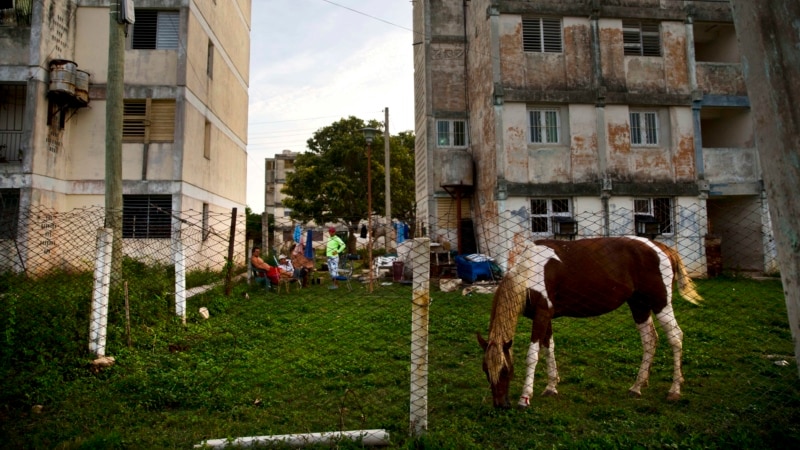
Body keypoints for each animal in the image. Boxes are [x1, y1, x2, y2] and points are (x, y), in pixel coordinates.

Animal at [478, 237, 704, 410]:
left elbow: (532, 355)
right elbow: (548, 348)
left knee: (675, 338)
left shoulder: (542, 315)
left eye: (505, 371)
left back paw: (674, 390)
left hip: (660, 303)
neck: (530, 272)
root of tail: (662, 247)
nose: (500, 404)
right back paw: (637, 387)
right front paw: (551, 387)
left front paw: (525, 398)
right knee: (650, 340)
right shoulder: (544, 317)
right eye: (485, 370)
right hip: (638, 305)